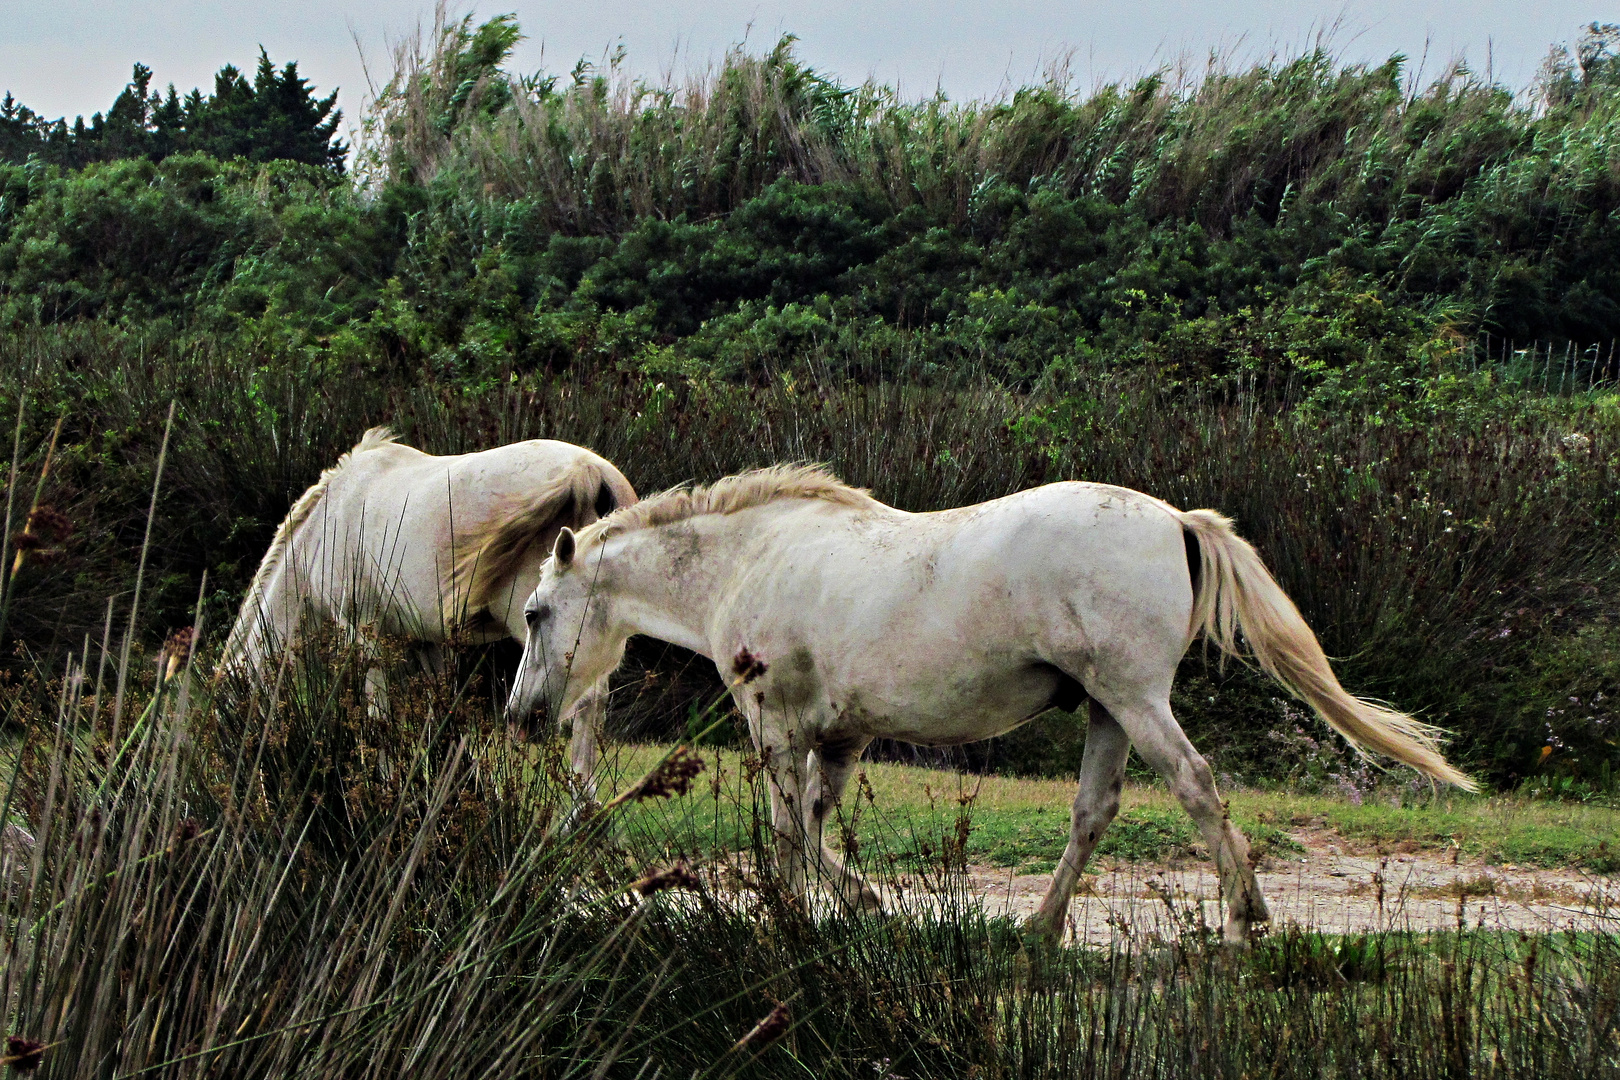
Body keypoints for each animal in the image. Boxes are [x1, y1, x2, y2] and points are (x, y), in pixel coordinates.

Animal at [218, 427, 635, 793]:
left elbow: (379, 716)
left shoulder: (363, 631)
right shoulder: (426, 643)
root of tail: (587, 472)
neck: (327, 524)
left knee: (584, 706)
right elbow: (443, 718)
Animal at [508, 466, 1483, 945]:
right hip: (1106, 711)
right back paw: (1040, 929)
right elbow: (813, 831)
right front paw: (834, 910)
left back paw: (1247, 918)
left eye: (535, 613)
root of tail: (1175, 519)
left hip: (1134, 700)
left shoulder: (777, 727)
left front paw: (813, 914)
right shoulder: (839, 737)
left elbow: (789, 835)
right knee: (1094, 811)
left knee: (1198, 786)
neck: (752, 555)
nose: (523, 716)